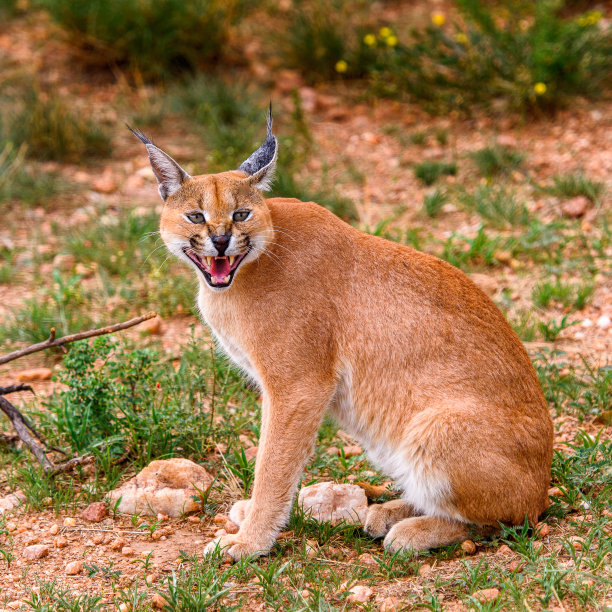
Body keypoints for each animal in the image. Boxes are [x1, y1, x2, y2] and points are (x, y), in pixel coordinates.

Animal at [130, 111, 556, 560]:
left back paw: (411, 530)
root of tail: (542, 485)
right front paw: (253, 525)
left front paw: (249, 541)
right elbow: (275, 461)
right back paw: (390, 510)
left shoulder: (299, 385)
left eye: (241, 214)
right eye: (196, 216)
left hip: (435, 427)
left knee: (507, 519)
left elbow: (273, 464)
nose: (221, 240)